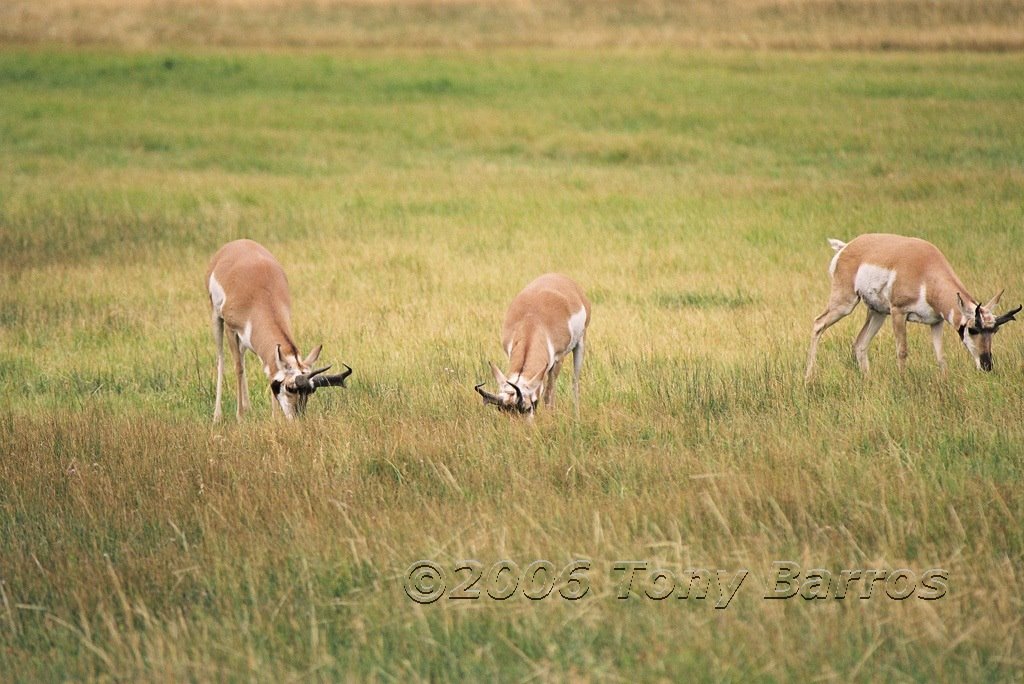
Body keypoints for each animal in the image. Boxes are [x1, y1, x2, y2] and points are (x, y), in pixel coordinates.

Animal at [205, 240, 354, 421]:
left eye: (311, 391)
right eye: (290, 388)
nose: (297, 417)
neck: (261, 296)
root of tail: (237, 243)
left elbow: (268, 369)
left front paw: (274, 418)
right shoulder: (230, 328)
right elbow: (238, 368)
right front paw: (240, 417)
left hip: (244, 340)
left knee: (241, 356)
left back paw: (248, 408)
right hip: (216, 318)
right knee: (221, 359)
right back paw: (217, 416)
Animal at [473, 272, 589, 417]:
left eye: (528, 407)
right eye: (502, 410)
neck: (532, 320)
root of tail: (559, 277)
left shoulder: (558, 360)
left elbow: (548, 395)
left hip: (580, 345)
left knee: (574, 382)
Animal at [806, 232, 1015, 376]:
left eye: (994, 330)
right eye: (972, 329)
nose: (987, 365)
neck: (926, 270)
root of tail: (847, 246)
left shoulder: (936, 322)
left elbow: (941, 357)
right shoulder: (899, 313)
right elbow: (902, 351)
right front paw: (902, 383)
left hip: (878, 313)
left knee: (860, 344)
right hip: (845, 304)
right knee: (818, 323)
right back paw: (809, 378)